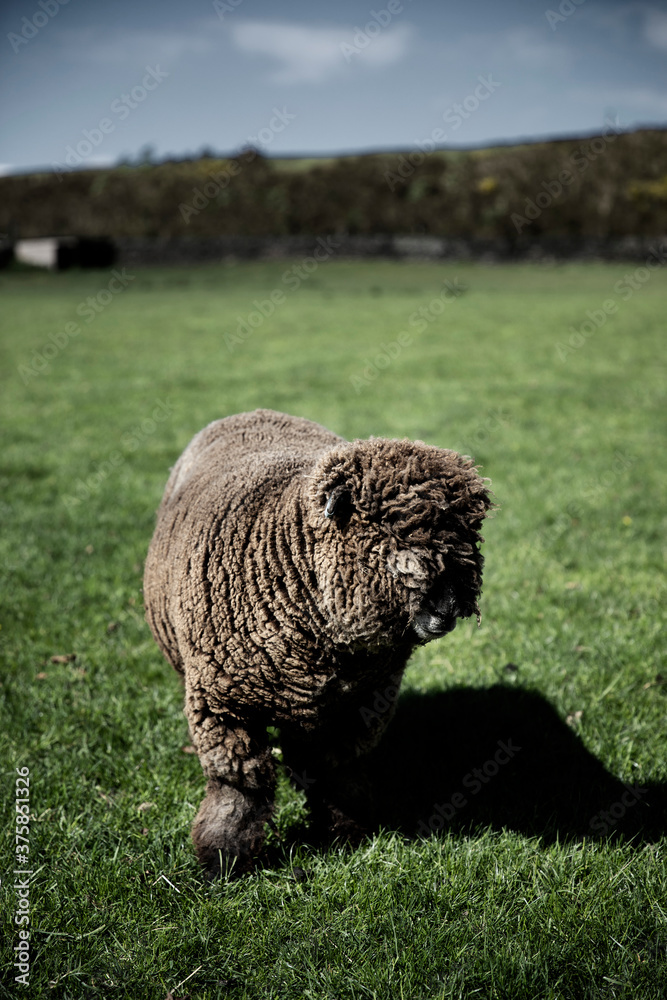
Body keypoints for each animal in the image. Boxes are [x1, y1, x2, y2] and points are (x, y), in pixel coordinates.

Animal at [144, 406, 494, 876]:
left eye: (470, 536)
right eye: (393, 533)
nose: (450, 604)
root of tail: (256, 411)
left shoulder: (361, 705)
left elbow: (337, 769)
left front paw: (347, 829)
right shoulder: (220, 705)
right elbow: (239, 783)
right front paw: (223, 855)